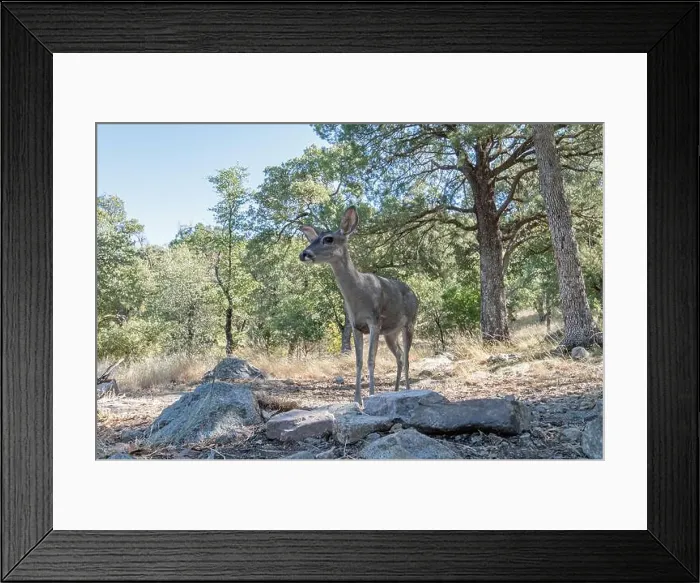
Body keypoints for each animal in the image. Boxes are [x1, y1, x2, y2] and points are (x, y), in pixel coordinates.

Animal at [299, 206, 419, 406]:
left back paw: (408, 390)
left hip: (410, 322)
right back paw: (395, 391)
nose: (304, 254)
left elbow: (371, 360)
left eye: (328, 239)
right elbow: (358, 361)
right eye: (311, 239)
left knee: (407, 357)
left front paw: (371, 395)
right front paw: (357, 400)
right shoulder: (356, 325)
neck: (359, 294)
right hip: (390, 333)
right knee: (400, 356)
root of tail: (415, 294)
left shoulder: (374, 321)